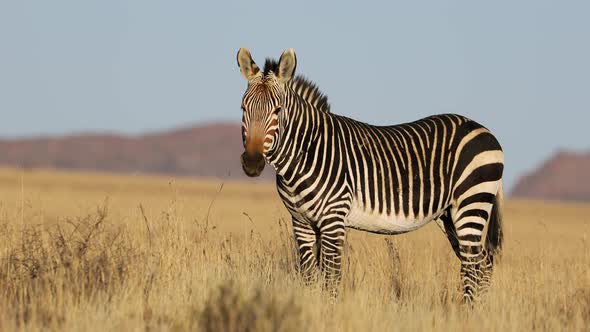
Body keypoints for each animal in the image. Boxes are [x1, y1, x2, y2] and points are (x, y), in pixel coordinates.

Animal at [238, 47, 506, 304]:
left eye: (277, 110)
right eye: (243, 108)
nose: (252, 163)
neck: (307, 153)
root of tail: (483, 129)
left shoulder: (333, 219)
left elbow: (331, 278)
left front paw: (329, 312)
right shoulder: (301, 222)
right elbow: (310, 277)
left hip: (471, 202)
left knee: (473, 267)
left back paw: (469, 312)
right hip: (450, 214)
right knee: (482, 263)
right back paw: (478, 313)